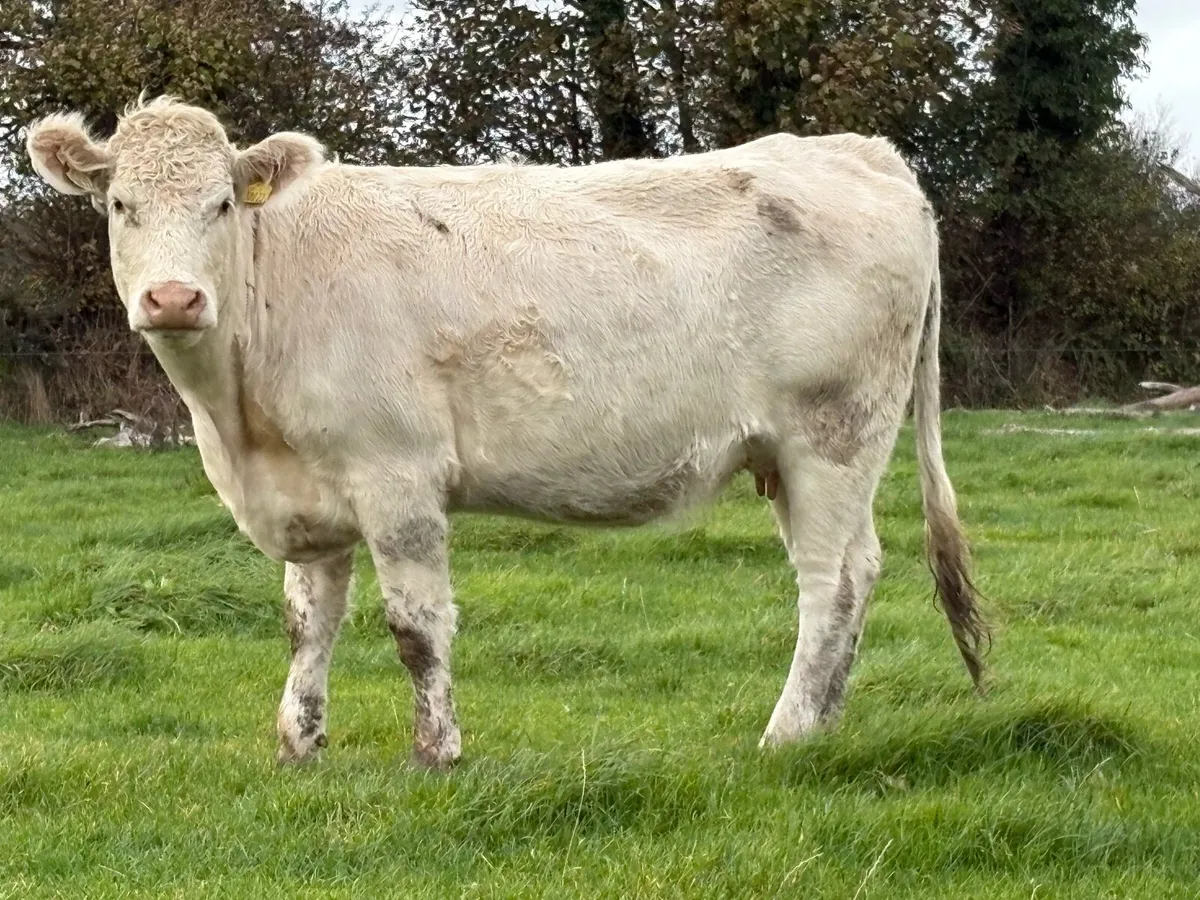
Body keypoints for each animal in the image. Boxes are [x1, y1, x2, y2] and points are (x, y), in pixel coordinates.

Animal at [26, 96, 988, 770]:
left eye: (224, 204)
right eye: (120, 204)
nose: (173, 298)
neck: (238, 420)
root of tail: (858, 150)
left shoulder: (396, 475)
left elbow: (416, 626)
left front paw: (435, 750)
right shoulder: (310, 494)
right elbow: (308, 624)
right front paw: (299, 743)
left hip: (833, 435)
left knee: (833, 581)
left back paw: (786, 734)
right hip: (792, 457)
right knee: (857, 574)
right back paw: (824, 724)